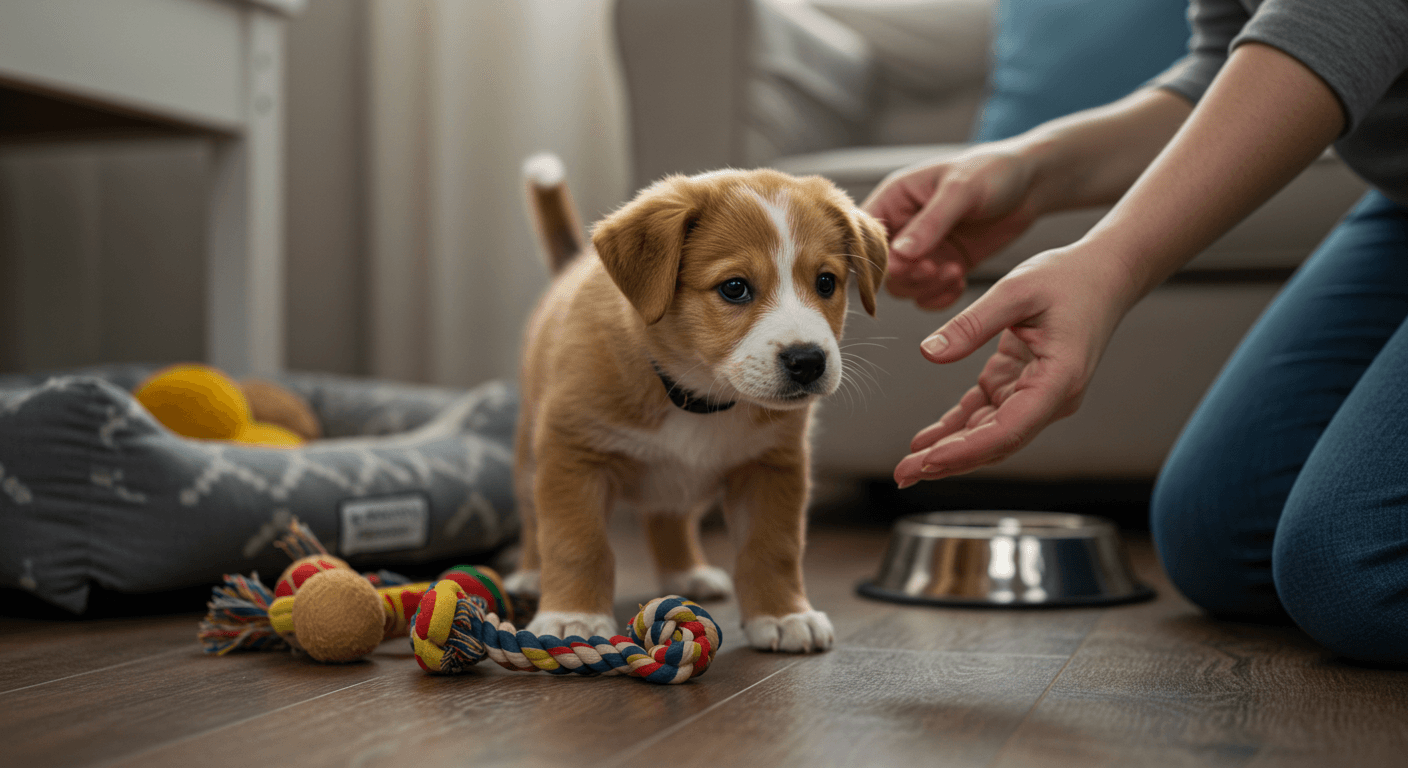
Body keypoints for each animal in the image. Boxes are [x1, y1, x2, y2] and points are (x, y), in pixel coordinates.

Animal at [506, 152, 884, 651]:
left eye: (826, 283)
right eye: (734, 288)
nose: (807, 361)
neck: (697, 394)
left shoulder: (772, 467)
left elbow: (773, 548)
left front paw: (783, 614)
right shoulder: (573, 456)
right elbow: (577, 544)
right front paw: (574, 616)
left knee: (668, 518)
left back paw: (685, 572)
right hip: (530, 458)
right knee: (534, 521)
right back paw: (531, 575)